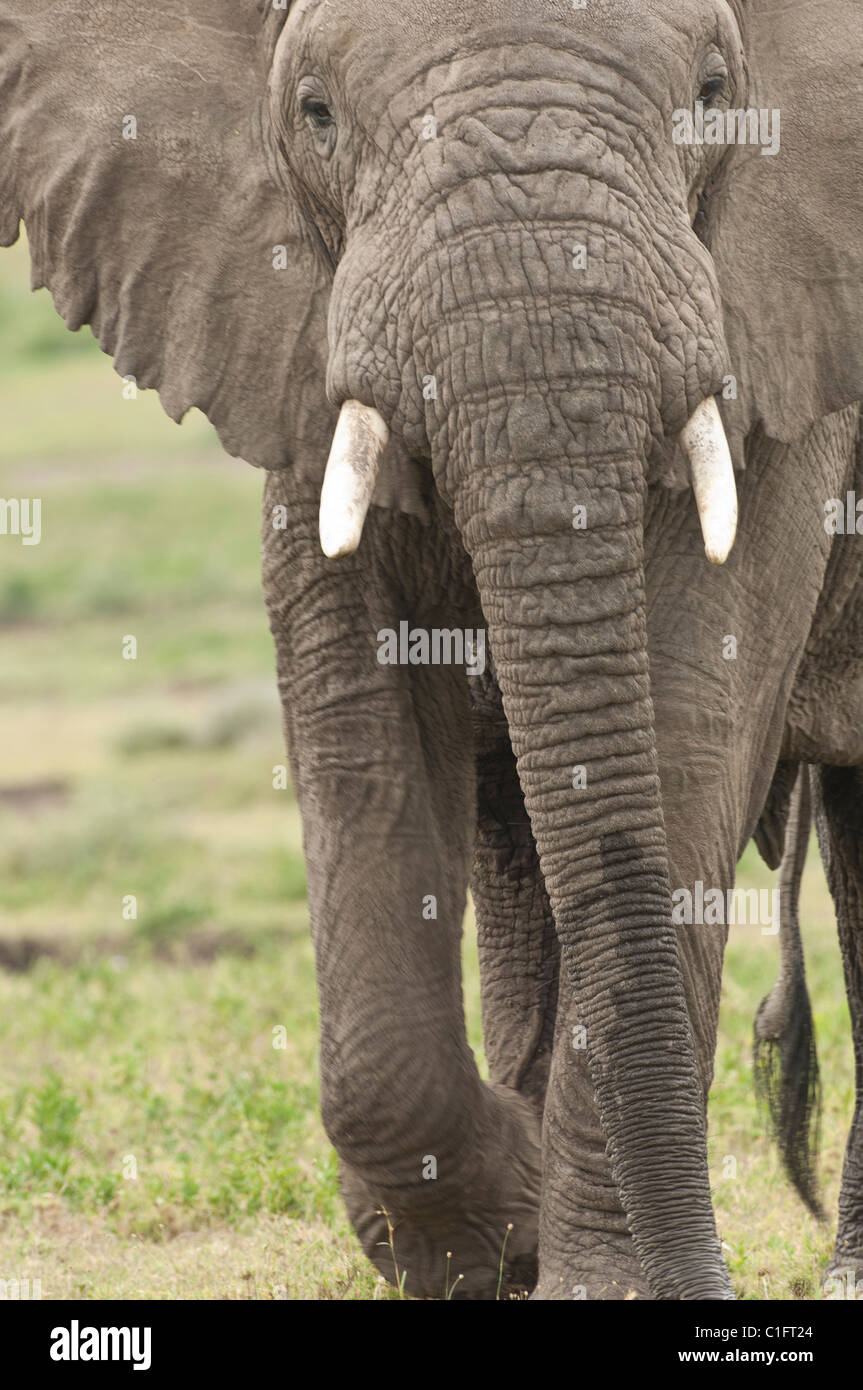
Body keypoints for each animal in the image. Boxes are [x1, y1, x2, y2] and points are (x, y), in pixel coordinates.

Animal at [1, 0, 861, 1301]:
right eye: (315, 112)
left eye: (714, 92)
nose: (699, 1280)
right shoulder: (294, 334)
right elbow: (359, 713)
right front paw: (498, 1222)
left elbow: (683, 712)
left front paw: (585, 1271)